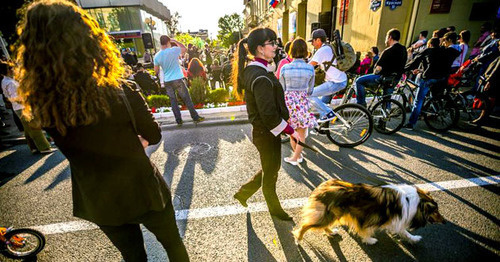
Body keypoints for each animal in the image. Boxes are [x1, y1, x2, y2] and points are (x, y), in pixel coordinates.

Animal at [292, 179, 446, 245]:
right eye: (436, 211)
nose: (444, 221)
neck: (414, 200)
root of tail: (323, 186)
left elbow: (404, 232)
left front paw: (413, 239)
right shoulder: (395, 220)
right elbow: (402, 231)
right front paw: (370, 240)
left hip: (333, 214)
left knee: (322, 226)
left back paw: (331, 232)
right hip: (328, 215)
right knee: (305, 226)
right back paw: (298, 239)